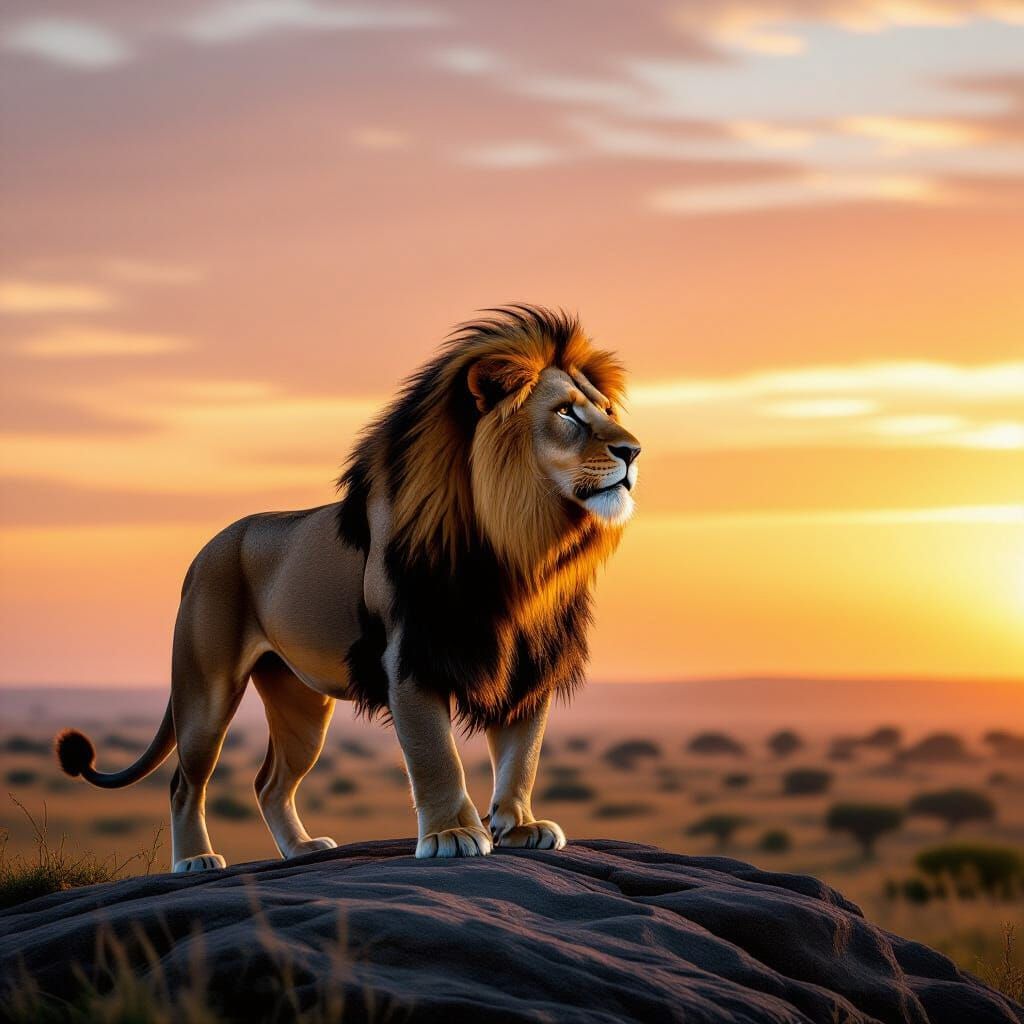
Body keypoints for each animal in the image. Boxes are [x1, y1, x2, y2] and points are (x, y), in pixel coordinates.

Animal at [55, 306, 641, 871]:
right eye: (565, 413)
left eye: (606, 411)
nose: (633, 451)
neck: (520, 549)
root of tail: (205, 551)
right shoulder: (410, 657)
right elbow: (436, 755)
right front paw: (451, 834)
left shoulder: (530, 662)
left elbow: (523, 754)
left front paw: (519, 826)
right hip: (207, 689)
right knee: (184, 781)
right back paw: (195, 859)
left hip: (300, 704)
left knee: (269, 782)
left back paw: (302, 850)